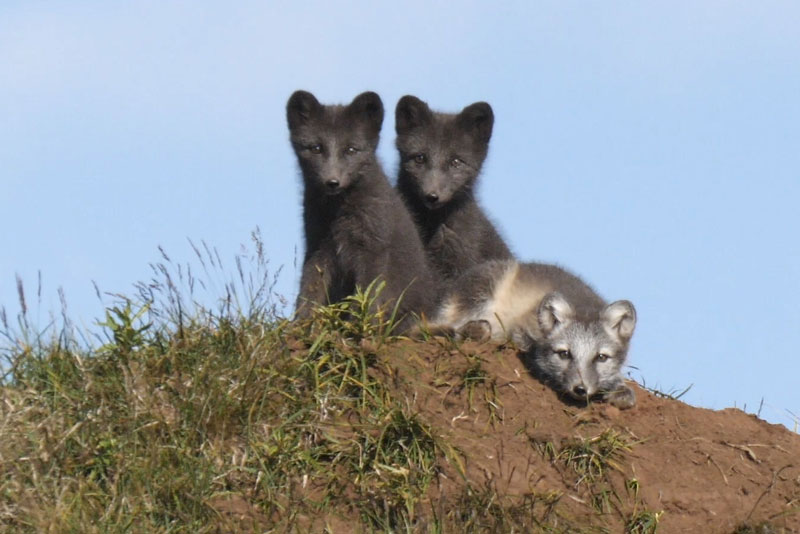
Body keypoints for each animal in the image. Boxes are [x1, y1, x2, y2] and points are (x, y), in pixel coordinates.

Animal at [288, 91, 434, 330]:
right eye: (316, 148)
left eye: (350, 150)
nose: (332, 182)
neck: (339, 213)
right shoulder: (318, 247)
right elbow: (309, 288)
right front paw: (300, 325)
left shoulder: (373, 246)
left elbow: (368, 292)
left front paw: (358, 325)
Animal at [432, 262, 636, 408]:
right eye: (564, 354)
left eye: (601, 357)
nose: (580, 389)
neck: (582, 305)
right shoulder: (521, 328)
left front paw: (619, 388)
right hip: (483, 290)